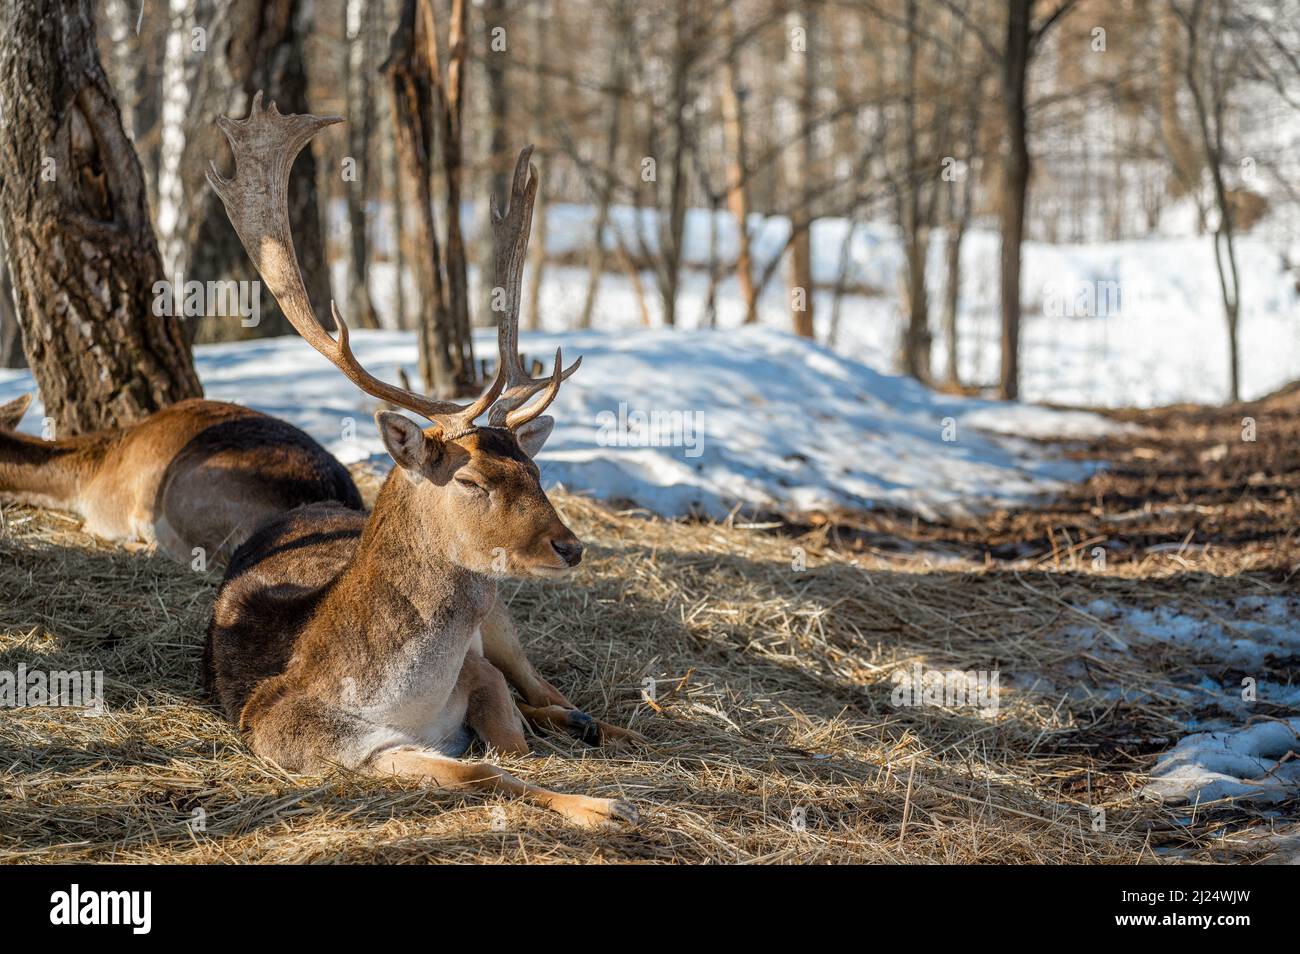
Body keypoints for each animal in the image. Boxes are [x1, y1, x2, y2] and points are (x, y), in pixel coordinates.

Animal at [202, 94, 640, 827]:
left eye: (537, 471)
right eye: (470, 478)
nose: (569, 545)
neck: (401, 701)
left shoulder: (479, 669)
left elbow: (512, 741)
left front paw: (594, 784)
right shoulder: (315, 738)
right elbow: (485, 772)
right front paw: (602, 807)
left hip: (500, 619)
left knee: (547, 688)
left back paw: (604, 724)